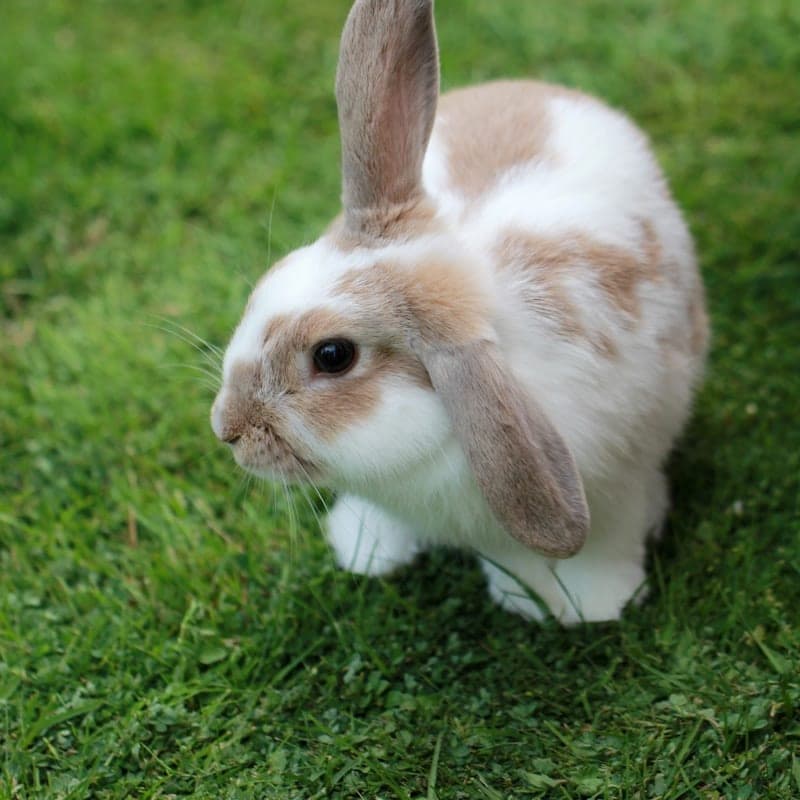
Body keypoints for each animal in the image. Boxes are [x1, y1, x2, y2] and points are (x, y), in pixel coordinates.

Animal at [210, 0, 709, 624]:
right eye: (272, 278)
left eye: (333, 355)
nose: (226, 429)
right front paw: (366, 550)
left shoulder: (612, 488)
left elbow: (600, 549)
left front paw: (593, 605)